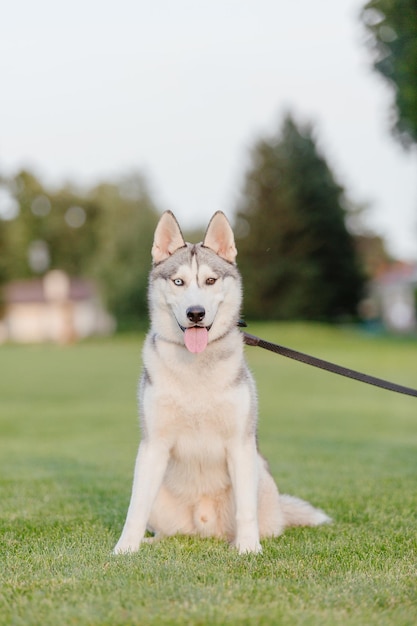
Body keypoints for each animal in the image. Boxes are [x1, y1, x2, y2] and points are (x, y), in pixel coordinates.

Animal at [113, 212, 328, 552]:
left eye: (211, 281)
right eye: (178, 282)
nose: (196, 313)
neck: (196, 367)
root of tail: (204, 531)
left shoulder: (240, 444)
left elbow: (246, 511)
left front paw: (249, 549)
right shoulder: (153, 445)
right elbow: (136, 508)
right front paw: (124, 549)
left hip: (260, 474)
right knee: (163, 528)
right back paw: (151, 542)